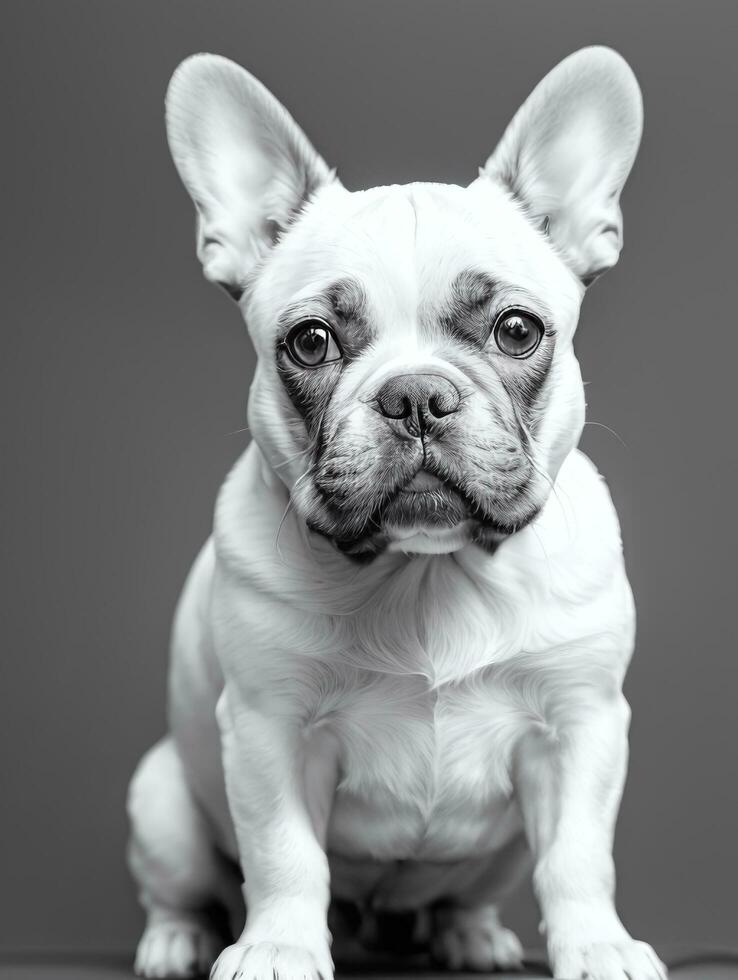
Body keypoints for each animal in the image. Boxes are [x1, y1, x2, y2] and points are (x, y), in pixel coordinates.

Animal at [125, 44, 660, 980]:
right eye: (310, 343)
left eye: (517, 330)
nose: (415, 395)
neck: (426, 573)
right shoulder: (269, 727)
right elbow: (283, 853)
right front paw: (277, 947)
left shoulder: (582, 724)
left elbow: (577, 857)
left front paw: (598, 944)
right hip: (160, 799)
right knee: (184, 883)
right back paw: (177, 939)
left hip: (499, 850)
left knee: (474, 890)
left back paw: (473, 936)